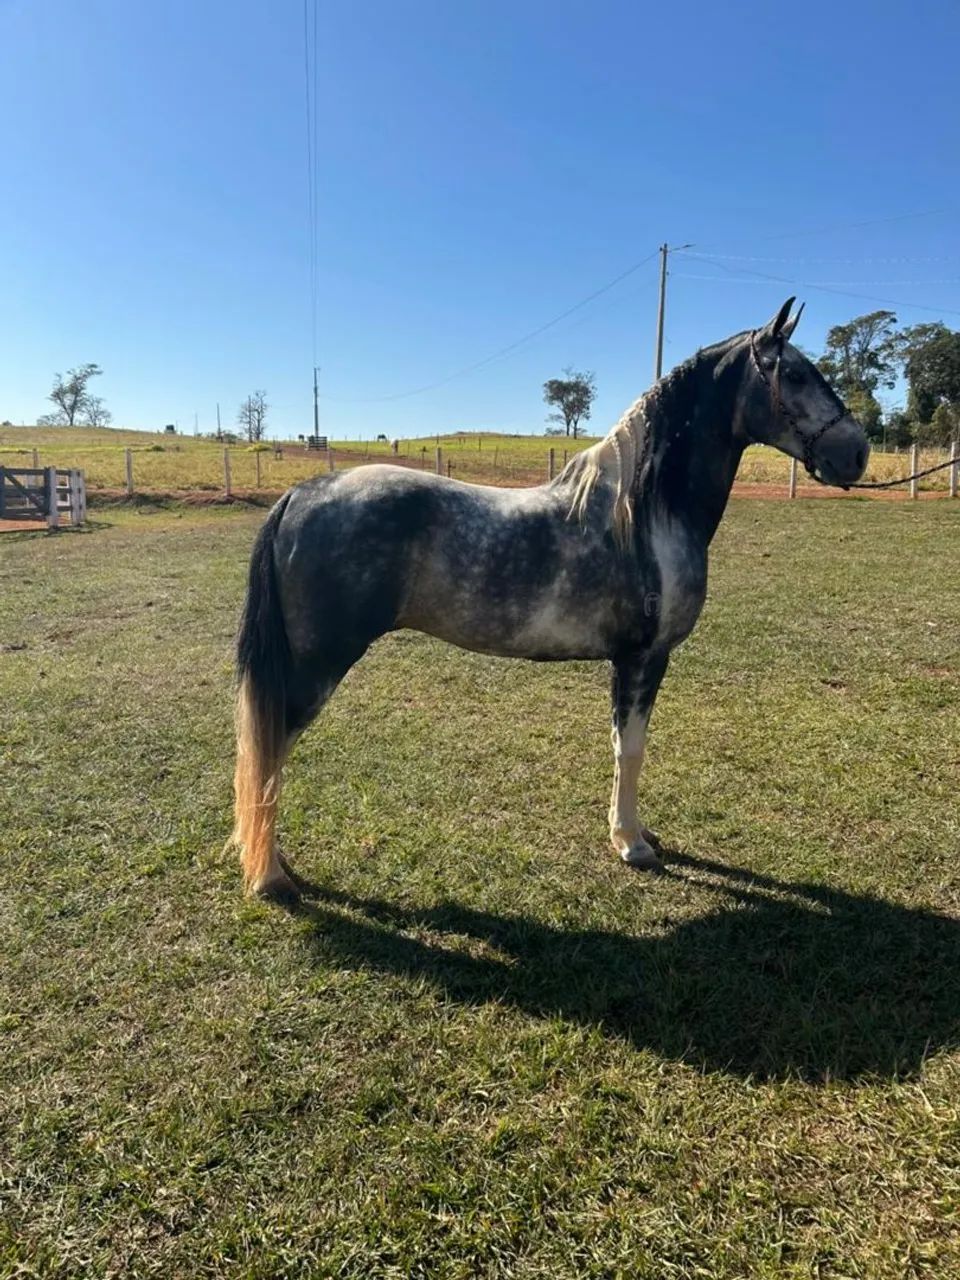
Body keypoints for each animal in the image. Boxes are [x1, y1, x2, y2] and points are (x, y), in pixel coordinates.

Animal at [230, 299, 868, 901]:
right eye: (795, 374)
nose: (857, 452)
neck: (643, 514)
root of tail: (302, 492)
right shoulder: (644, 659)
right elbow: (632, 749)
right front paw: (632, 844)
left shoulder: (626, 662)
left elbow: (618, 745)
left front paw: (630, 831)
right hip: (317, 667)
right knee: (269, 751)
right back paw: (270, 876)